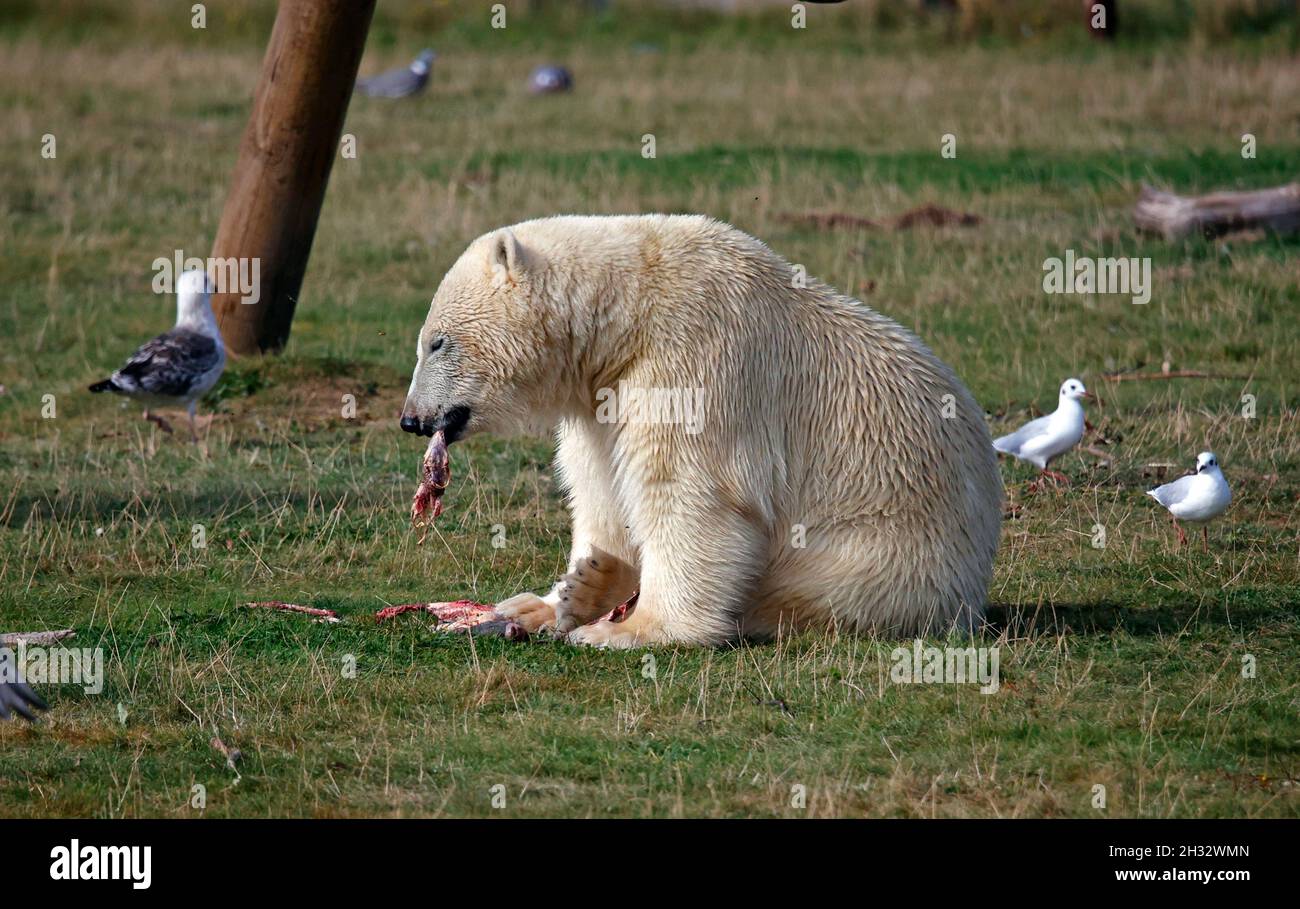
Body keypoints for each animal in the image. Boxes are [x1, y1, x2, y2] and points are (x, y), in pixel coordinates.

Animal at [400, 215, 998, 647]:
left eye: (437, 342)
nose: (412, 419)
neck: (630, 314)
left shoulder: (695, 359)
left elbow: (690, 493)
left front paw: (631, 630)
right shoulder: (600, 401)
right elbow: (601, 490)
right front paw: (556, 598)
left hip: (874, 554)